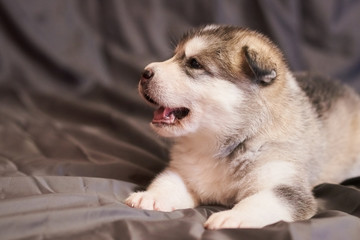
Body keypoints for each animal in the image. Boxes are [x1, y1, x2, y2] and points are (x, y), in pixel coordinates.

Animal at [124, 25, 360, 230]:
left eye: (195, 63)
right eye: (174, 56)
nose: (144, 72)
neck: (223, 144)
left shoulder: (285, 184)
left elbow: (261, 201)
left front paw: (232, 217)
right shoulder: (185, 171)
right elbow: (167, 182)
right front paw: (151, 196)